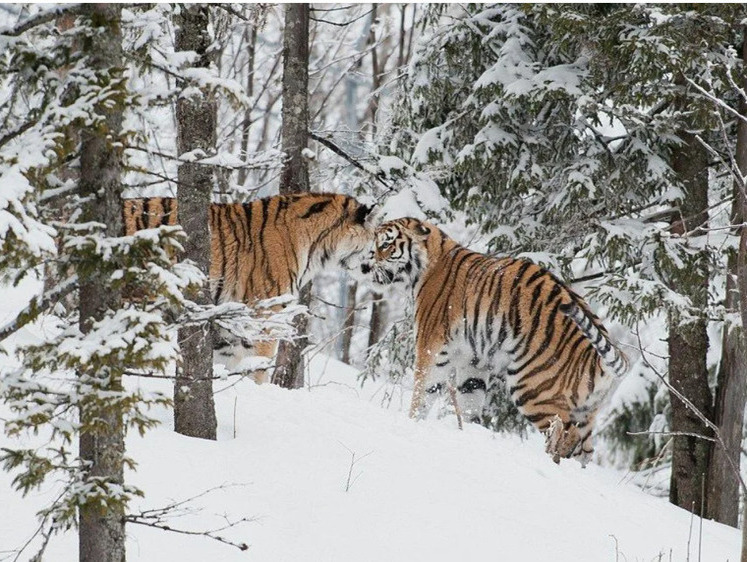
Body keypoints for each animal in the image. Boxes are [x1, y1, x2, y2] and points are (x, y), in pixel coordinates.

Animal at [366, 217, 628, 462]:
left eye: (386, 244)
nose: (366, 266)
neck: (426, 265)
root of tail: (596, 358)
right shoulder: (472, 361)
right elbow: (469, 400)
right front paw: (465, 431)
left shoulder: (430, 347)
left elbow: (422, 392)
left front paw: (412, 422)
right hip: (586, 411)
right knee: (585, 451)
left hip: (533, 389)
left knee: (562, 433)